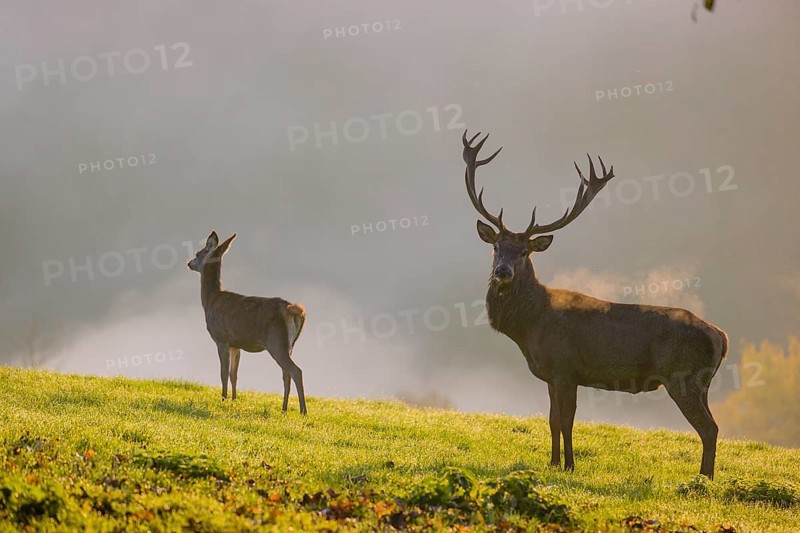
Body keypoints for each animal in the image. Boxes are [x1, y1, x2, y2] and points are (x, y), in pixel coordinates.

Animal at [188, 231, 308, 414]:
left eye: (197, 253)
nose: (189, 263)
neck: (210, 300)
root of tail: (292, 311)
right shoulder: (236, 344)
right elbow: (234, 374)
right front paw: (234, 400)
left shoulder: (221, 339)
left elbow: (223, 373)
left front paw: (223, 400)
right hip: (289, 345)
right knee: (286, 373)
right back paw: (284, 409)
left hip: (276, 341)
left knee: (295, 371)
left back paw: (303, 411)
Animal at [461, 131, 728, 479]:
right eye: (496, 247)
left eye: (524, 252)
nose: (502, 272)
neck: (529, 328)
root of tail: (721, 336)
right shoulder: (552, 375)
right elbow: (552, 421)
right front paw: (552, 463)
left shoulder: (566, 367)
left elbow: (566, 421)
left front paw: (570, 466)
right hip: (702, 382)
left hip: (683, 376)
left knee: (710, 428)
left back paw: (703, 479)